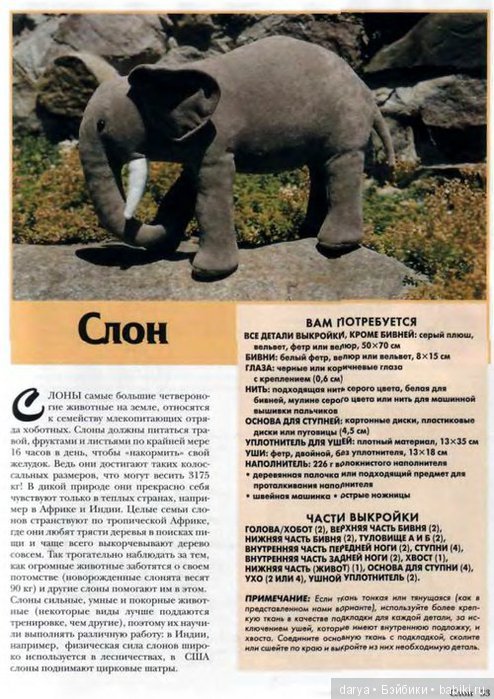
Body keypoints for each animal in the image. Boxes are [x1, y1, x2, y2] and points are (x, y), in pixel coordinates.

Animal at [79, 36, 395, 280]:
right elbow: (183, 189)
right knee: (320, 170)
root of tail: (367, 93)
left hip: (346, 122)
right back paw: (306, 233)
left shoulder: (215, 141)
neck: (168, 73)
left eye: (101, 125)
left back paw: (333, 245)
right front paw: (164, 240)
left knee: (341, 167)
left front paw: (208, 273)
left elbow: (208, 196)